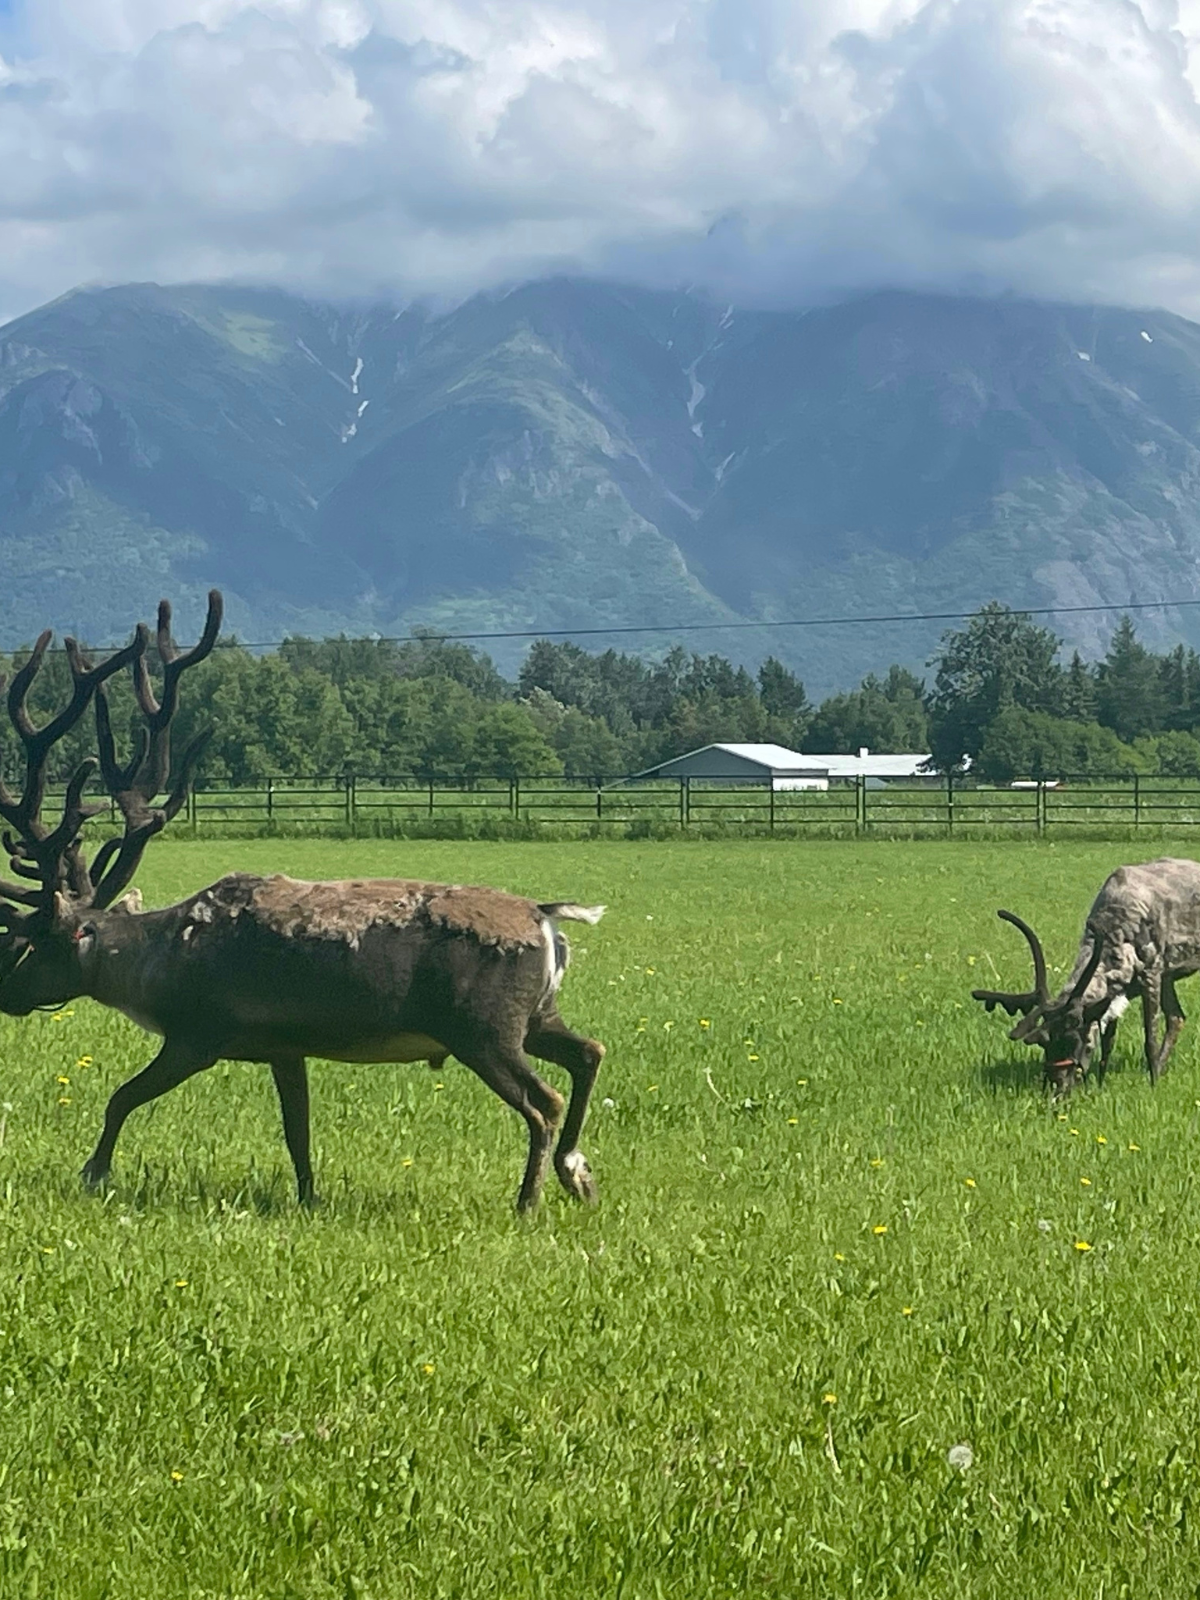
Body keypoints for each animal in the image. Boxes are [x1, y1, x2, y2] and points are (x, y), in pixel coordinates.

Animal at [0, 592, 607, 1213]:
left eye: (31, 942)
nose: (4, 994)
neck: (153, 967)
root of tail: (546, 921)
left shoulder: (199, 1031)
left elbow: (121, 1097)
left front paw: (93, 1172)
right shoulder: (284, 1045)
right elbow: (298, 1132)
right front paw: (309, 1199)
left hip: (483, 1027)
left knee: (545, 1100)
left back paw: (529, 1199)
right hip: (535, 1016)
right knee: (590, 1051)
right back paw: (577, 1173)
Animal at [971, 857, 1200, 1093]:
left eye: (1077, 1040)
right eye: (1045, 1043)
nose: (1057, 1085)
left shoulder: (1151, 972)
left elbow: (1150, 1038)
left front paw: (1152, 1084)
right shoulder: (1118, 991)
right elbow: (1108, 1042)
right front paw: (1100, 1084)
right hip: (1169, 977)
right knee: (1177, 1017)